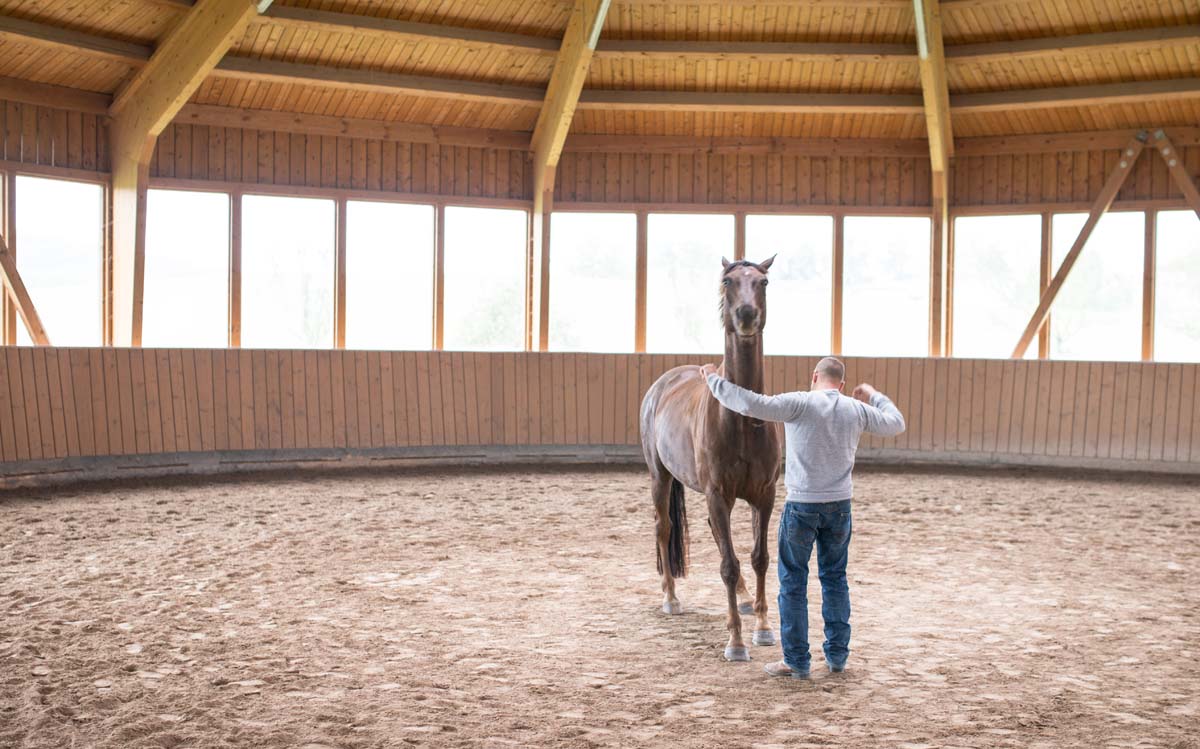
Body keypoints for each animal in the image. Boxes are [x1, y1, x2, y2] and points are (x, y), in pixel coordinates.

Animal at [639, 255, 782, 662]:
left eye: (764, 282)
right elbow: (728, 566)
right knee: (663, 528)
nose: (746, 315)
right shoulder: (718, 494)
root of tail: (664, 383)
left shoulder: (764, 495)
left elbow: (759, 557)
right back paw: (671, 599)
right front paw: (735, 642)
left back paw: (746, 599)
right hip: (660, 477)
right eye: (728, 281)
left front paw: (763, 626)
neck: (741, 416)